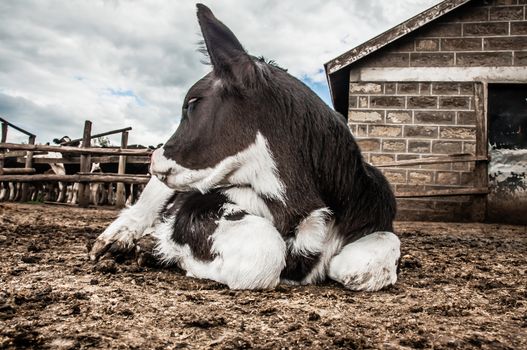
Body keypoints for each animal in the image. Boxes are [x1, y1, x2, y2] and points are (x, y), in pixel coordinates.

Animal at [89, 4, 400, 292]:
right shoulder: (193, 206)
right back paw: (117, 240)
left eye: (191, 104)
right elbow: (263, 251)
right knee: (141, 210)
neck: (300, 206)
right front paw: (164, 252)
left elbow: (368, 260)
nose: (155, 159)